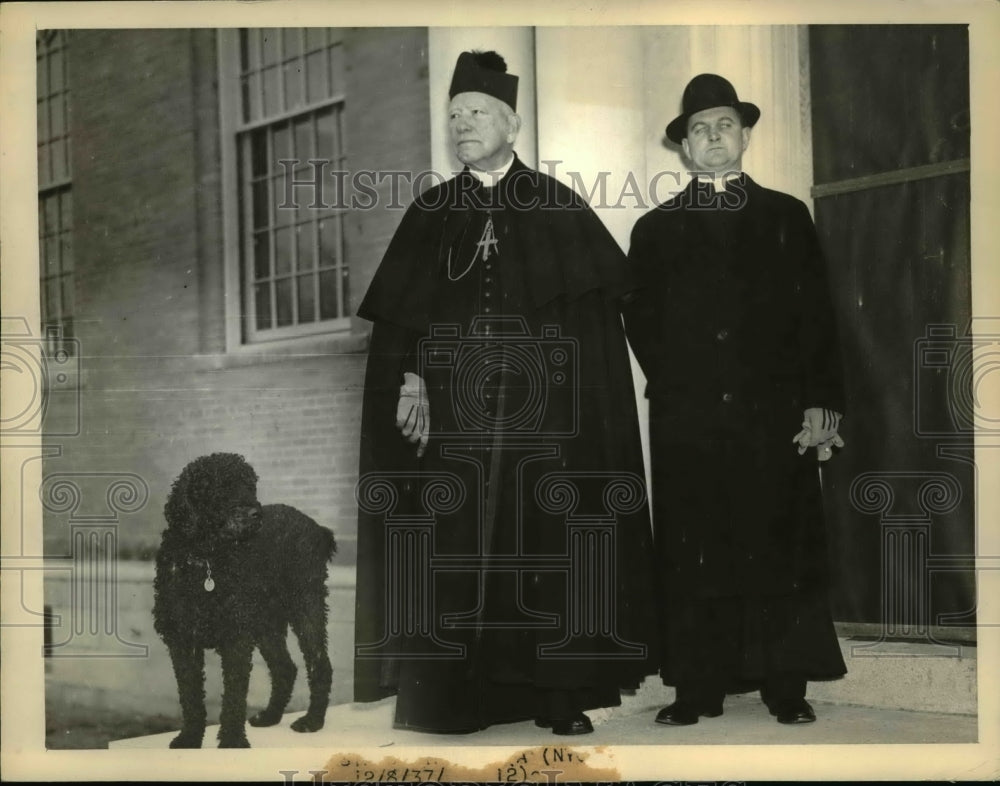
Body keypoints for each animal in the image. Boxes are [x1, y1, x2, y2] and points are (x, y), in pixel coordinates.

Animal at [149, 450, 336, 744]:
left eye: (251, 485)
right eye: (221, 486)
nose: (255, 513)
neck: (207, 560)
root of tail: (316, 527)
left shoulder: (235, 638)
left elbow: (234, 697)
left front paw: (232, 742)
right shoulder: (182, 640)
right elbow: (190, 696)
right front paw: (190, 738)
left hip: (306, 606)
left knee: (319, 665)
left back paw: (312, 721)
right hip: (266, 623)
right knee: (285, 668)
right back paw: (271, 716)